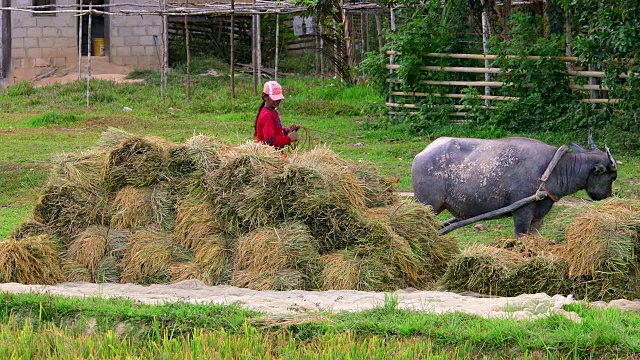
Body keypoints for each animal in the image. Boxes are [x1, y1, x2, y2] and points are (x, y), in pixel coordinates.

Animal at [412, 135, 616, 236]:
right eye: (613, 176)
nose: (608, 196)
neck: (553, 169)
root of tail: (420, 155)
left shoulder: (538, 216)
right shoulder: (522, 212)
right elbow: (520, 236)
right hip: (429, 206)